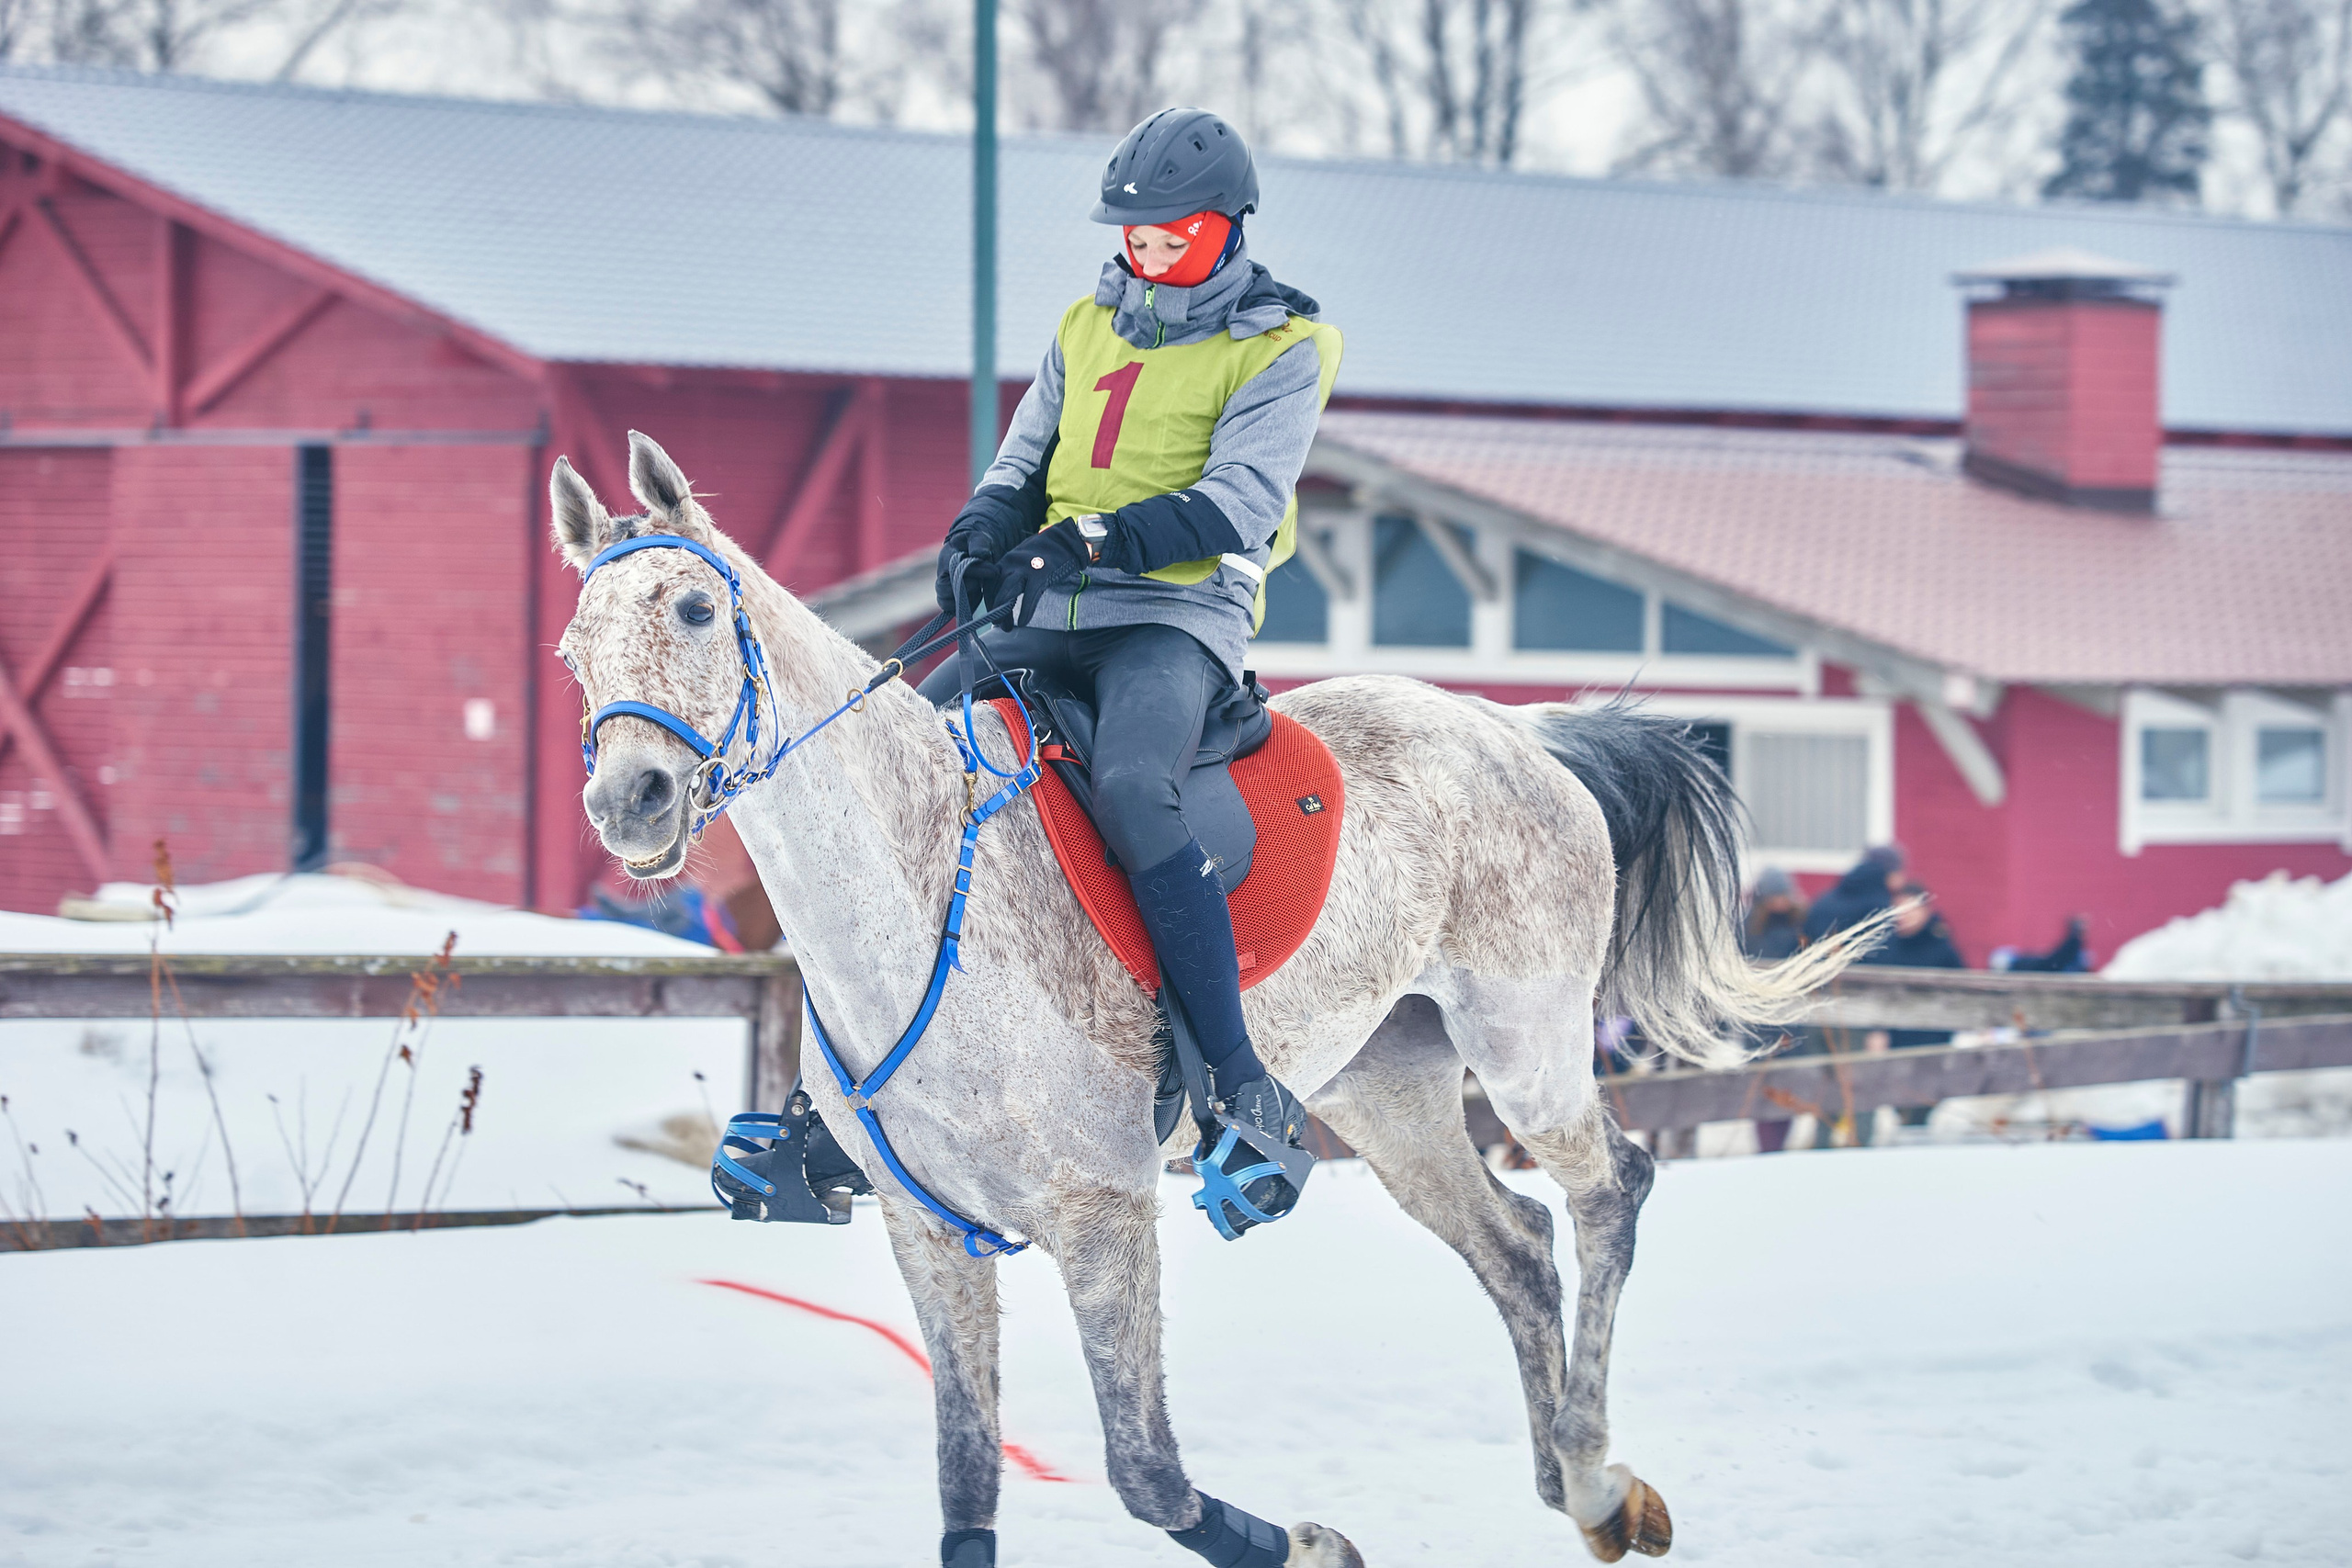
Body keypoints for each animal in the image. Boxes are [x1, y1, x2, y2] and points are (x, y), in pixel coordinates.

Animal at [554, 431, 1872, 1566]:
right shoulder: (930, 1231)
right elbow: (966, 1482)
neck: (926, 891)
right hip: (1389, 1091)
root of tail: (1516, 727)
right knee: (1514, 1245)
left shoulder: (1104, 1215)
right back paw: (1563, 1476)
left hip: (1526, 1040)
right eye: (572, 649)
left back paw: (1598, 1474)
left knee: (1609, 1194)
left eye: (694, 607)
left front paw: (1316, 1544)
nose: (631, 800)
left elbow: (1146, 1471)